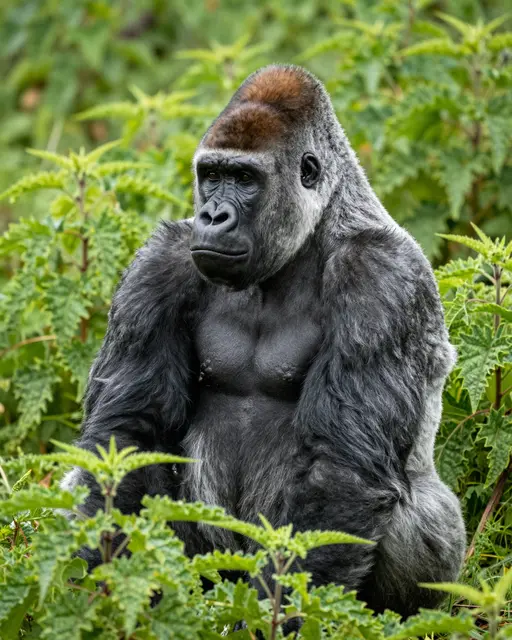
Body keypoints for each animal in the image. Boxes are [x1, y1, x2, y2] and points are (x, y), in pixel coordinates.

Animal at [63, 65, 465, 617]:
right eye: (211, 175)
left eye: (245, 180)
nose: (213, 216)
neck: (313, 231)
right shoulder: (159, 262)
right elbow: (127, 438)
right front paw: (99, 586)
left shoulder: (381, 277)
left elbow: (343, 469)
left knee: (418, 512)